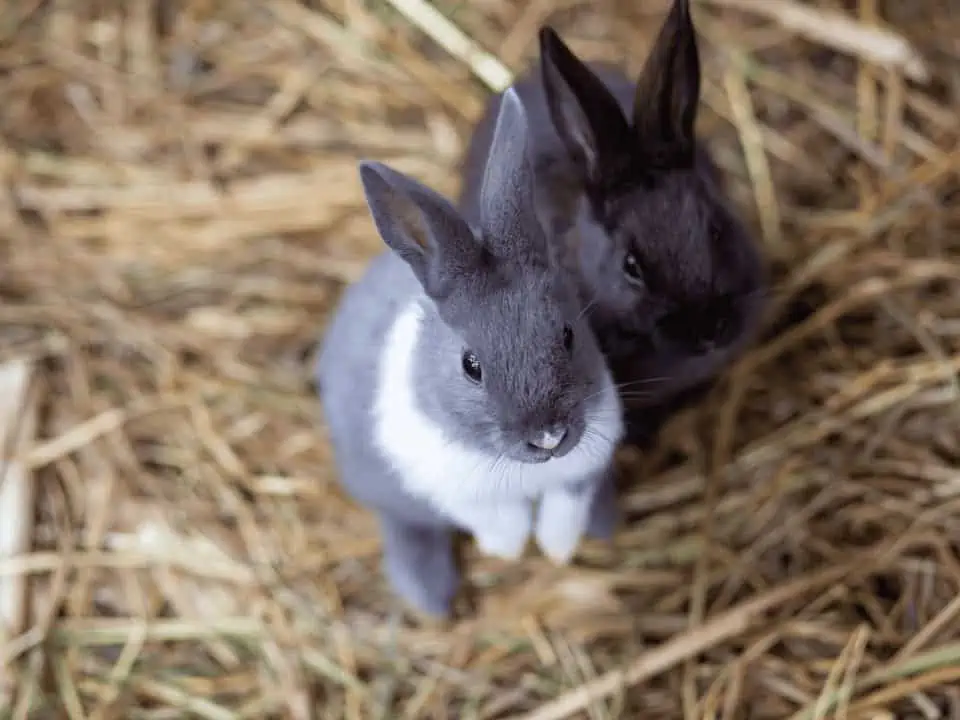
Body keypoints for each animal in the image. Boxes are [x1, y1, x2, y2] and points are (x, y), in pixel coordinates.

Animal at [316, 87, 628, 620]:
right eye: (471, 365)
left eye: (568, 334)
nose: (548, 437)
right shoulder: (446, 485)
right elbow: (490, 516)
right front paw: (510, 547)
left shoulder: (584, 463)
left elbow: (565, 504)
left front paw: (556, 548)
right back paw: (433, 598)